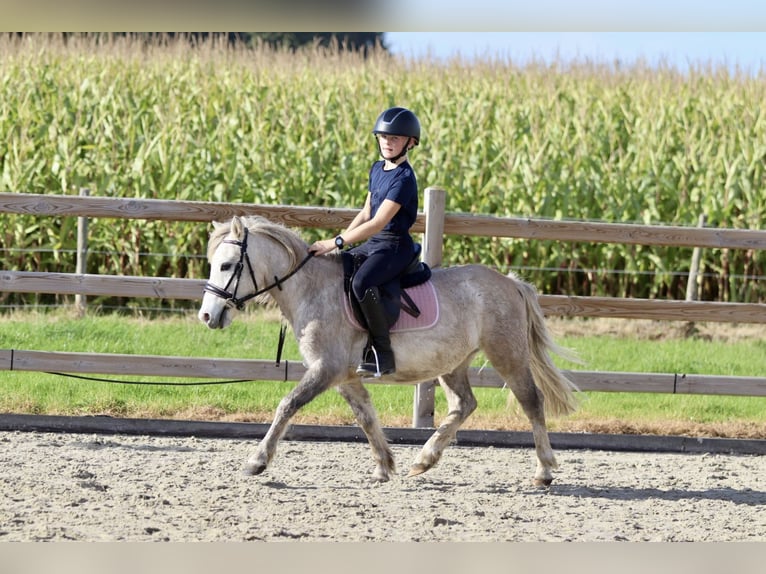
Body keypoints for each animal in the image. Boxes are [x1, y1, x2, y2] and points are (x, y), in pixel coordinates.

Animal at [198, 218, 584, 488]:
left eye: (227, 265)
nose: (207, 316)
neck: (311, 289)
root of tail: (511, 282)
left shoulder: (325, 369)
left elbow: (287, 405)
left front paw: (257, 461)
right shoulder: (344, 377)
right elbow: (366, 417)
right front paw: (384, 466)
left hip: (507, 354)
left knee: (531, 402)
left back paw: (544, 471)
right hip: (452, 363)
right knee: (464, 404)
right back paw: (424, 460)